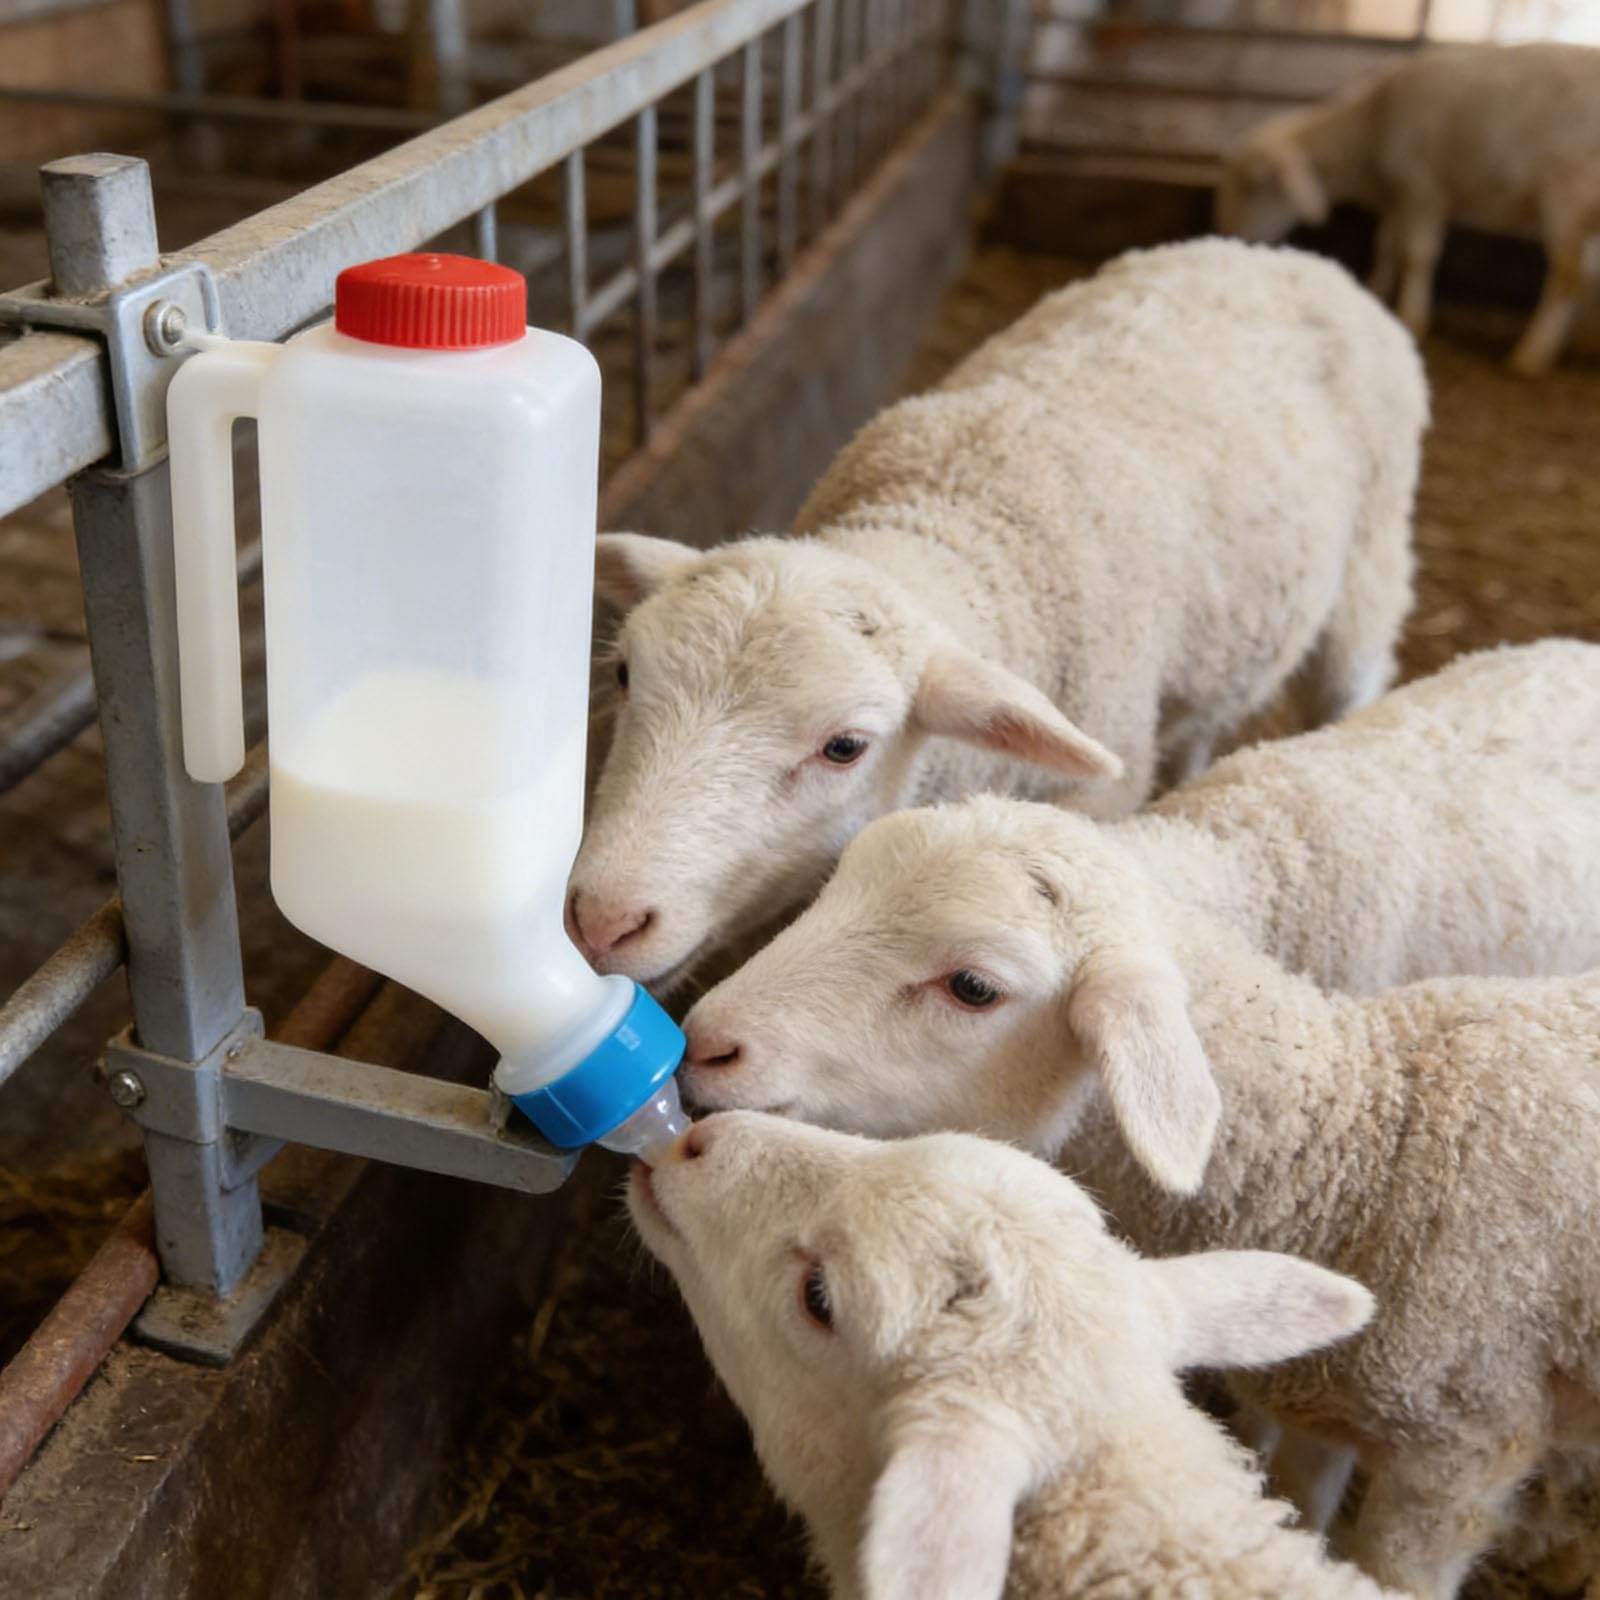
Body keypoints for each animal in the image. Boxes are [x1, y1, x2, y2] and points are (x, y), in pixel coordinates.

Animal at [568, 237, 1426, 988]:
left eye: (845, 747)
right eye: (624, 674)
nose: (603, 921)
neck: (951, 519)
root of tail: (1282, 256)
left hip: (1373, 553)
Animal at [1215, 43, 1600, 377]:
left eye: (1252, 185)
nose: (1227, 232)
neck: (1369, 131)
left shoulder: (1421, 188)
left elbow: (1418, 255)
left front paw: (1412, 318)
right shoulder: (1398, 196)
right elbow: (1388, 245)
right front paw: (1374, 290)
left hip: (1567, 190)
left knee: (1568, 274)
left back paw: (1532, 354)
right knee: (1588, 273)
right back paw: (1584, 343)